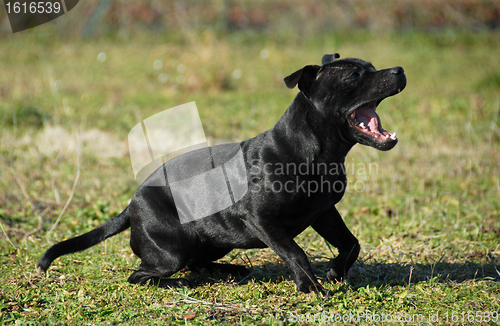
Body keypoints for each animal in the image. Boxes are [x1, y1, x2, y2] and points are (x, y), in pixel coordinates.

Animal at [39, 54, 406, 296]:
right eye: (354, 76)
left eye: (371, 67)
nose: (400, 69)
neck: (315, 152)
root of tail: (130, 207)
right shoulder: (262, 219)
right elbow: (296, 253)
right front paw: (310, 286)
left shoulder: (324, 211)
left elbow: (351, 243)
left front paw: (334, 271)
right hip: (172, 249)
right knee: (144, 275)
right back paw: (180, 282)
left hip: (214, 242)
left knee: (198, 264)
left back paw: (230, 272)